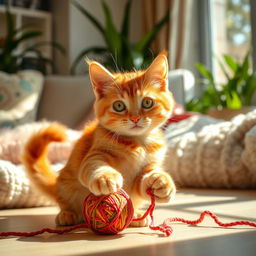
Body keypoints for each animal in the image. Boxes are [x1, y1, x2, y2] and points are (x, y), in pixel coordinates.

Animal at [22, 53, 176, 226]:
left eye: (147, 102)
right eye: (119, 106)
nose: (135, 118)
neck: (138, 142)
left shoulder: (147, 167)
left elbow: (143, 182)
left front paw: (162, 182)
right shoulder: (95, 153)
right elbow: (93, 165)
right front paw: (105, 178)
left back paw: (136, 215)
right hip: (65, 185)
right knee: (65, 203)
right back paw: (67, 214)